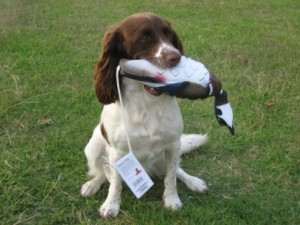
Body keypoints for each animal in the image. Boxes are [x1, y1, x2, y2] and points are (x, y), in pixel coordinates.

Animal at [82, 11, 209, 218]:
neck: (146, 101)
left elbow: (171, 177)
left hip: (165, 155)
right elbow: (115, 184)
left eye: (168, 34)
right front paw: (111, 205)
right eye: (143, 38)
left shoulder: (173, 145)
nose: (176, 57)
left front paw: (172, 200)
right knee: (102, 173)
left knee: (177, 170)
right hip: (92, 147)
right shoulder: (117, 153)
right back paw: (92, 185)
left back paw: (194, 182)